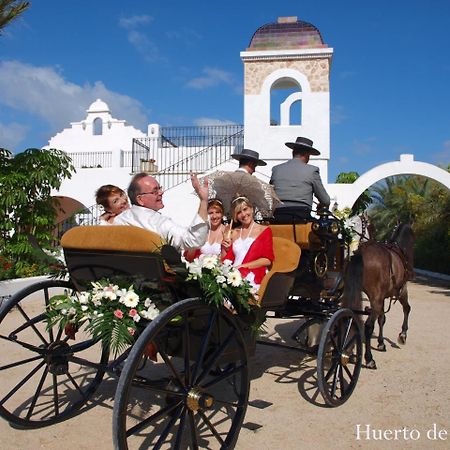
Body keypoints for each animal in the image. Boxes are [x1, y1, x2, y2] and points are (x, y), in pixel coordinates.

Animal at [344, 222, 414, 370]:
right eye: (413, 238)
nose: (411, 271)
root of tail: (361, 253)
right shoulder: (401, 291)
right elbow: (407, 308)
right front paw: (403, 335)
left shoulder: (382, 297)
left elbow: (382, 319)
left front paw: (381, 343)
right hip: (375, 298)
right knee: (368, 326)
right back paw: (369, 359)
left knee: (350, 318)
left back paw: (349, 352)